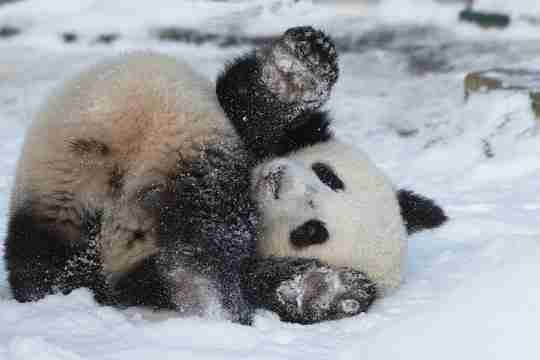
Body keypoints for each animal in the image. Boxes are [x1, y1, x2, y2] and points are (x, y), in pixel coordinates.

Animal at [5, 26, 384, 324]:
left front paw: (323, 290)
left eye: (310, 231)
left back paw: (207, 293)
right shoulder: (271, 137)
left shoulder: (137, 269)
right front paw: (295, 73)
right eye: (326, 174)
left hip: (70, 193)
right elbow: (246, 106)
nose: (281, 186)